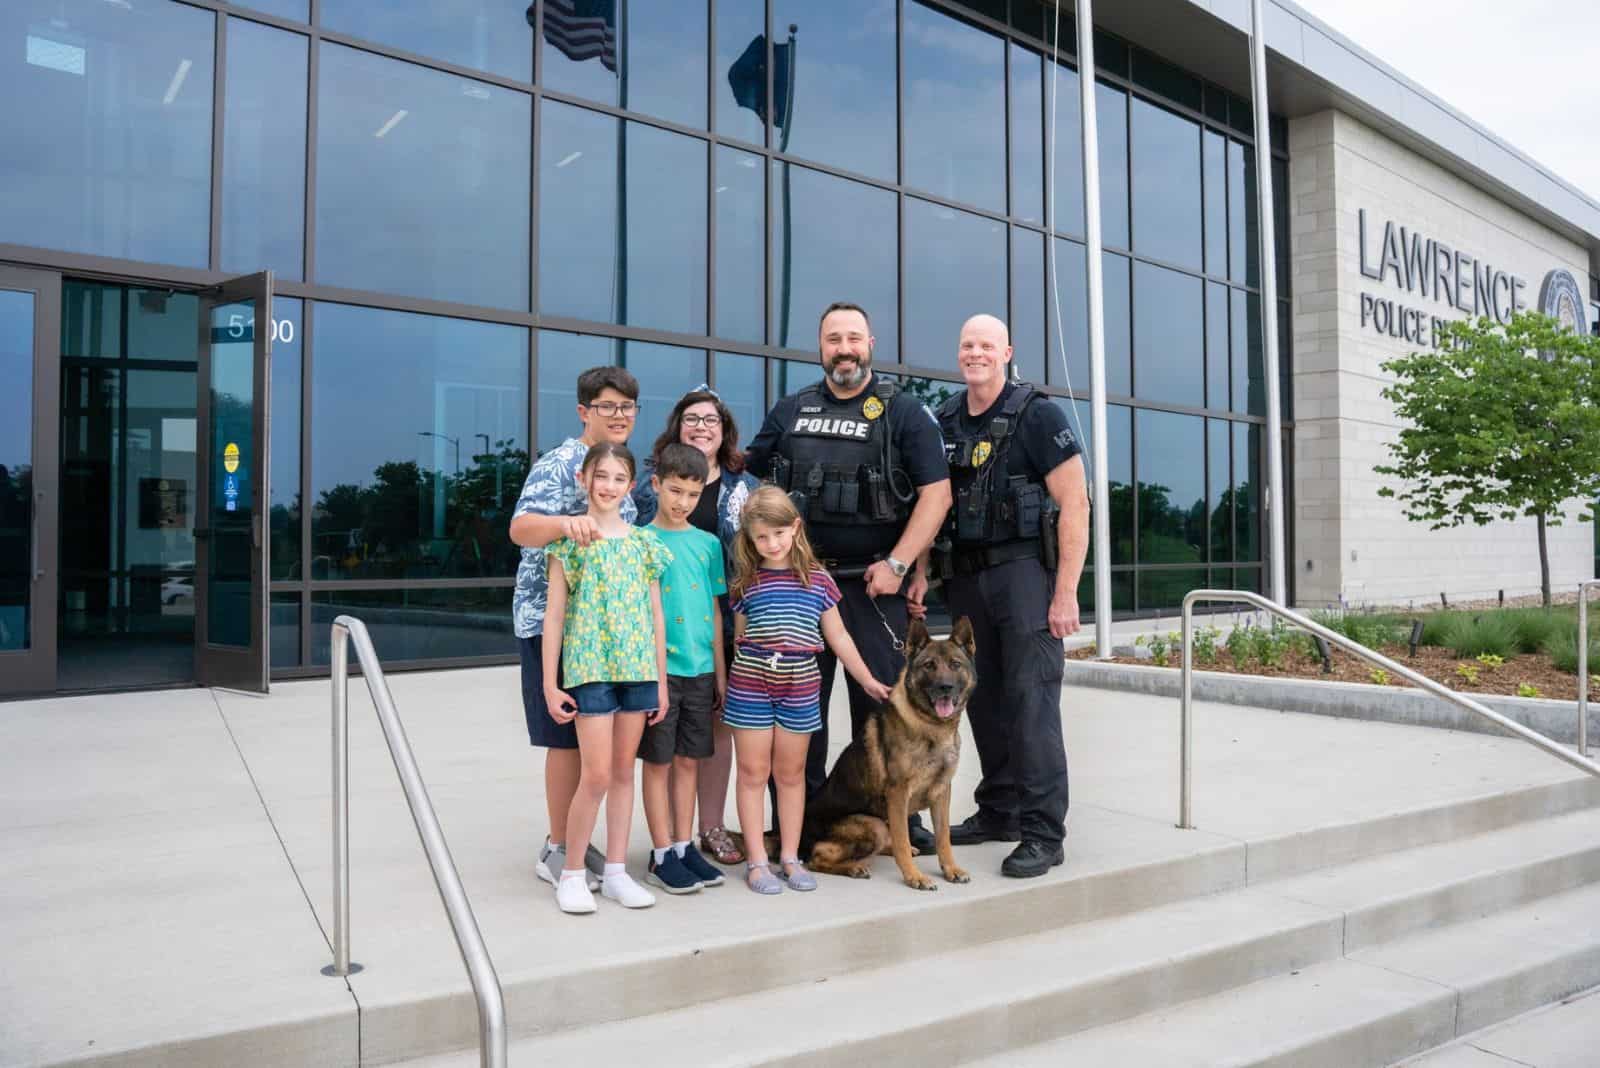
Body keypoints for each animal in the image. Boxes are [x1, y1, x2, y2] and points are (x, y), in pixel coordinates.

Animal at [796, 613, 972, 888]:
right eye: (929, 665)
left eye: (955, 664)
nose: (945, 687)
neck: (931, 725)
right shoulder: (898, 792)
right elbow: (902, 839)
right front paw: (913, 876)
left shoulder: (942, 792)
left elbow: (943, 838)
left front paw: (950, 869)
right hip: (873, 824)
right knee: (817, 858)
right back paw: (853, 867)